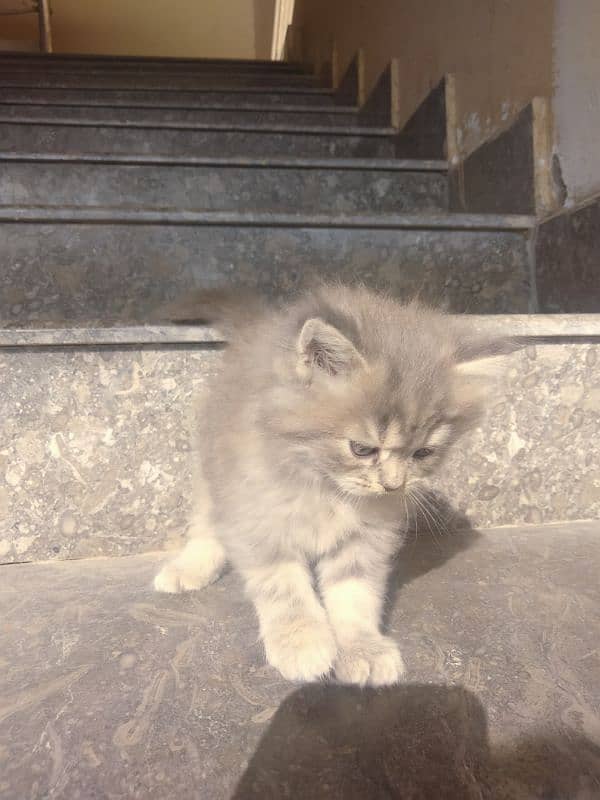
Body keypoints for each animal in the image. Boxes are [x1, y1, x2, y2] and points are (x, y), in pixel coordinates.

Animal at [155, 284, 510, 684]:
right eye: (362, 449)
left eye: (423, 453)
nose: (393, 486)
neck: (325, 489)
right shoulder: (258, 519)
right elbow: (284, 587)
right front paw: (301, 642)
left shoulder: (364, 539)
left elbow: (354, 596)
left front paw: (362, 648)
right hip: (212, 469)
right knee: (206, 520)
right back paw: (190, 567)